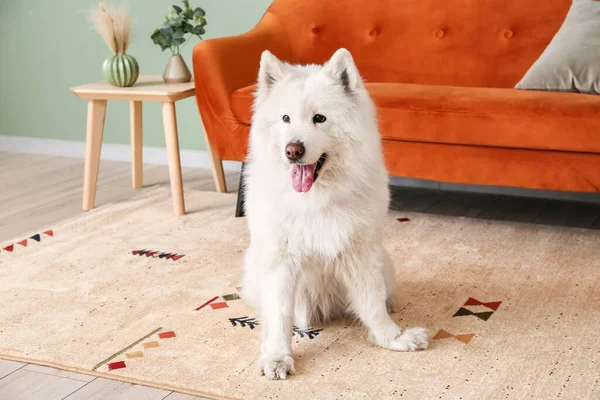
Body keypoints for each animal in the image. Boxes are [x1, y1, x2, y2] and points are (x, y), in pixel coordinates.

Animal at [241, 48, 428, 380]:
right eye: (285, 118)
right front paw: (277, 358)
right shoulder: (280, 263)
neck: (314, 198)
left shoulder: (360, 253)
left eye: (319, 118)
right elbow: (279, 316)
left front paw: (392, 338)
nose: (293, 150)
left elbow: (371, 302)